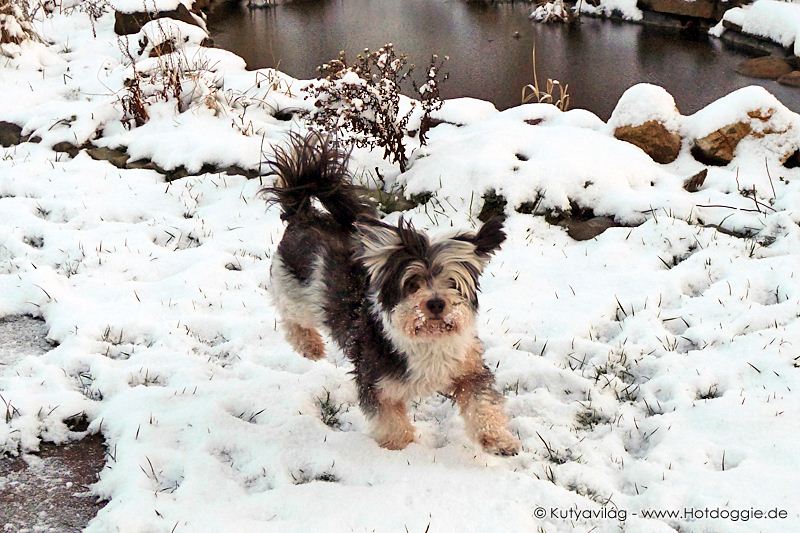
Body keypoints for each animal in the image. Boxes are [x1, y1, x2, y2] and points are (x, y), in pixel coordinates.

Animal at [266, 132, 520, 454]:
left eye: (452, 282)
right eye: (412, 283)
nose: (436, 304)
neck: (426, 340)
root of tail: (304, 213)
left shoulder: (468, 369)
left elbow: (483, 404)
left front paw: (498, 439)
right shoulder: (376, 379)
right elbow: (389, 417)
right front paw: (399, 446)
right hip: (296, 290)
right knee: (291, 317)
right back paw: (309, 345)